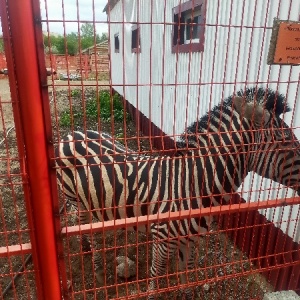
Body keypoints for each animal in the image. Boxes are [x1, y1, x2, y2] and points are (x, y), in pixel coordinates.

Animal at [55, 87, 300, 300]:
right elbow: (156, 277)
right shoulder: (162, 240)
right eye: (285, 141)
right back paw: (95, 265)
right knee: (81, 223)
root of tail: (72, 133)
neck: (192, 185)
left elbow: (188, 275)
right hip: (75, 198)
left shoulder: (190, 240)